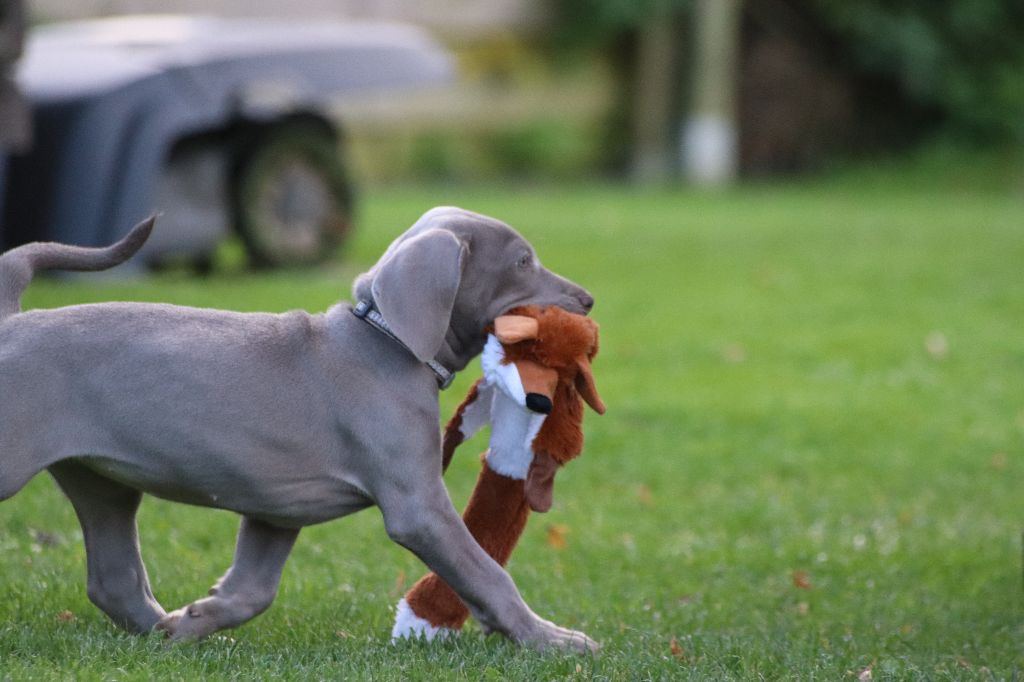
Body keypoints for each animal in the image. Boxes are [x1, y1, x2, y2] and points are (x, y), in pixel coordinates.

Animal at [0, 207, 598, 652]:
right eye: (522, 261)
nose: (589, 300)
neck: (384, 340)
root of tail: (11, 323)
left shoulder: (277, 508)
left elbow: (253, 590)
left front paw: (194, 619)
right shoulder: (418, 507)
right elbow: (486, 573)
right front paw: (553, 640)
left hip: (101, 481)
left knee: (113, 579)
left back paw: (160, 631)